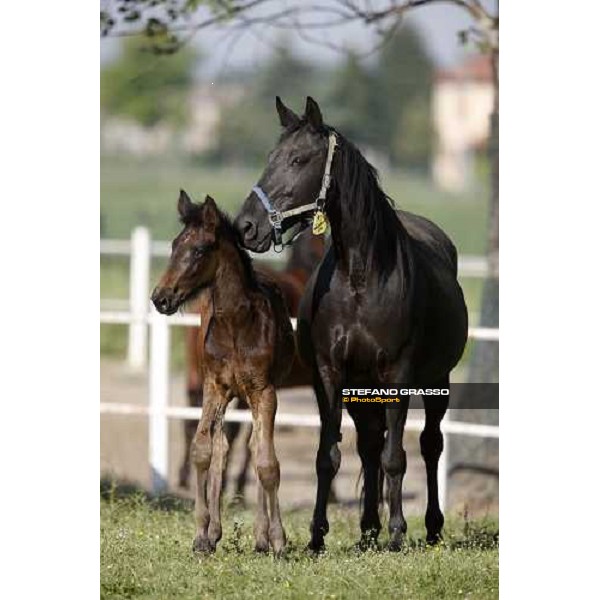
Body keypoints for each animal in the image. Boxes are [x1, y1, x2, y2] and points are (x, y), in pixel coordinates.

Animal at [151, 191, 294, 552]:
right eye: (174, 245)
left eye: (200, 249)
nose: (160, 298)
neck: (234, 325)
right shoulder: (214, 386)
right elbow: (203, 450)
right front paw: (202, 534)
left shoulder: (264, 391)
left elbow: (267, 462)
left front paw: (276, 539)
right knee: (224, 447)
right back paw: (217, 530)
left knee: (256, 447)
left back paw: (261, 536)